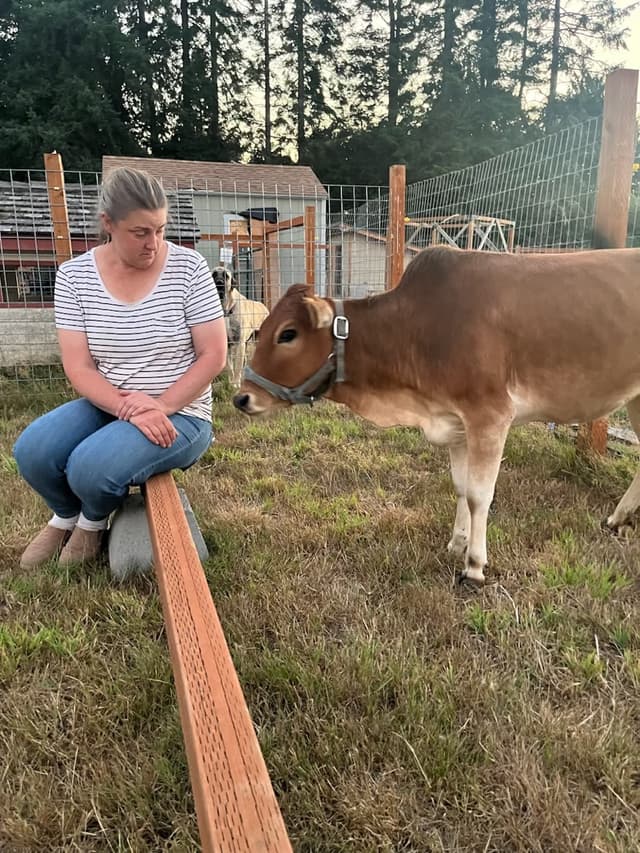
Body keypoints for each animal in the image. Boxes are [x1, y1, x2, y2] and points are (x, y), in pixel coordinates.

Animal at [233, 245, 640, 584]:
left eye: (288, 334)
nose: (242, 397)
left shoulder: (489, 416)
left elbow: (479, 495)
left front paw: (474, 565)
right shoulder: (455, 421)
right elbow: (460, 487)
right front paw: (457, 542)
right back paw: (616, 518)